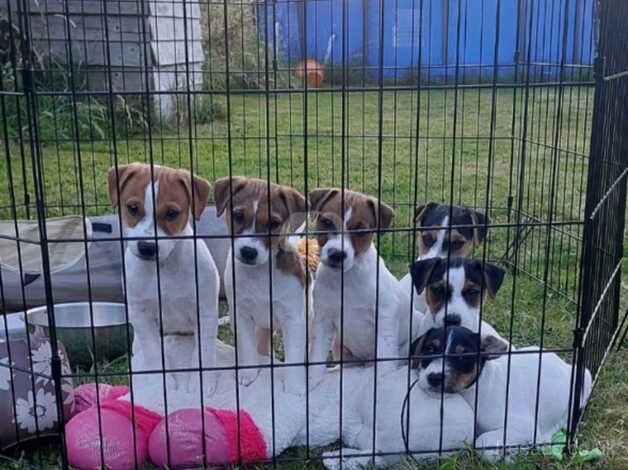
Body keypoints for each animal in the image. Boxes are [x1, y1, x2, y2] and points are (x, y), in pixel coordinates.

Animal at [106, 163, 218, 394]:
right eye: (132, 208)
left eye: (172, 213)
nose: (147, 247)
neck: (162, 268)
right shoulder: (140, 313)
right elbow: (152, 350)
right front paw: (161, 383)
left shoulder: (205, 311)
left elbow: (203, 350)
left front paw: (201, 383)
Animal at [215, 176, 310, 392]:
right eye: (238, 215)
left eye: (273, 224)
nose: (249, 252)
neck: (260, 273)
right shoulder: (242, 315)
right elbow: (248, 348)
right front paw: (249, 373)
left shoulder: (293, 320)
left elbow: (293, 358)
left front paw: (295, 388)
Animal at [306, 187, 420, 382]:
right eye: (327, 222)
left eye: (360, 231)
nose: (337, 254)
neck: (346, 278)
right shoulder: (324, 320)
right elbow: (317, 355)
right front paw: (313, 380)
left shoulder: (384, 315)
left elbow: (384, 356)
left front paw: (382, 379)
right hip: (339, 345)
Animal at [410, 328, 592, 458]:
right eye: (429, 349)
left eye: (463, 356)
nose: (434, 377)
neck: (476, 391)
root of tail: (565, 365)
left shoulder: (524, 426)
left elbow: (482, 441)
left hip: (584, 380)